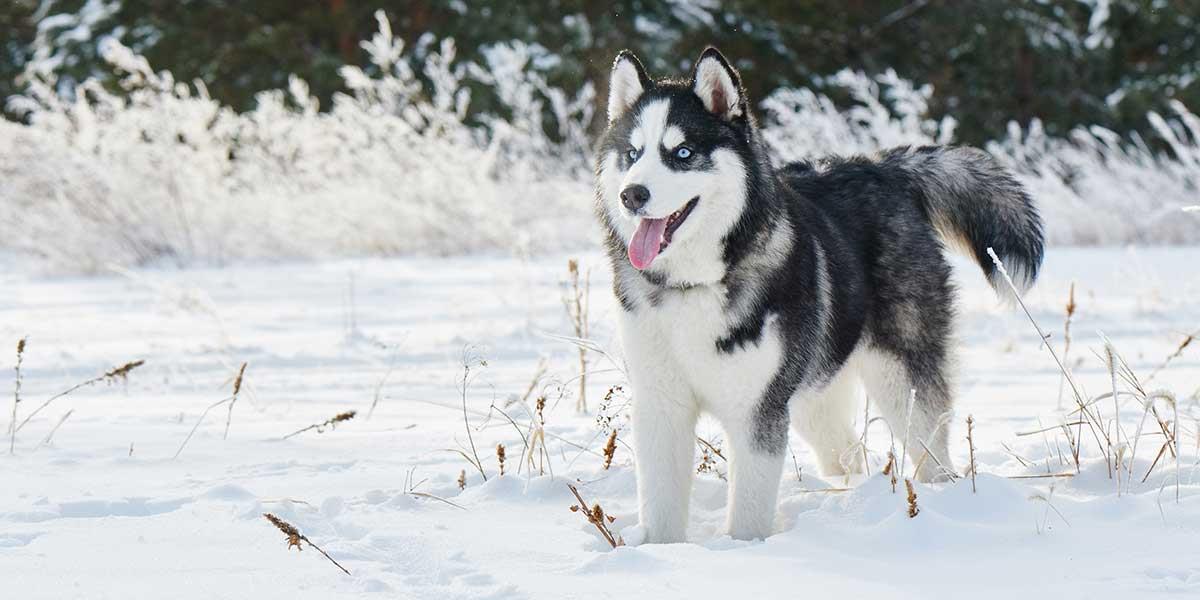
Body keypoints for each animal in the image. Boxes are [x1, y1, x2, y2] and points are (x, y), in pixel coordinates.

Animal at [595, 49, 1046, 542]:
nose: (631, 195)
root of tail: (880, 168)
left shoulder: (759, 413)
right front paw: (661, 551)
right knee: (846, 451)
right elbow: (660, 507)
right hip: (815, 392)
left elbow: (748, 514)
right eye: (633, 153)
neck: (693, 286)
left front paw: (741, 551)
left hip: (898, 380)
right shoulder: (661, 406)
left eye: (682, 153)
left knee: (931, 452)